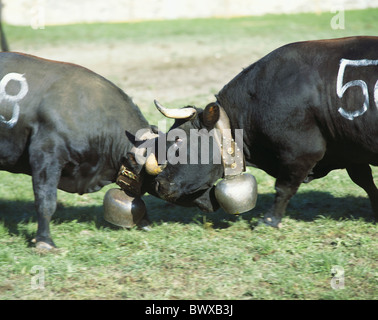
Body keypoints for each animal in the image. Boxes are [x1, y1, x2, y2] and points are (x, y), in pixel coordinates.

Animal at [151, 36, 378, 228]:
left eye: (178, 142)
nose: (159, 184)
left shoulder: (302, 152)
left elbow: (283, 188)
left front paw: (269, 220)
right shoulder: (350, 151)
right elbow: (365, 180)